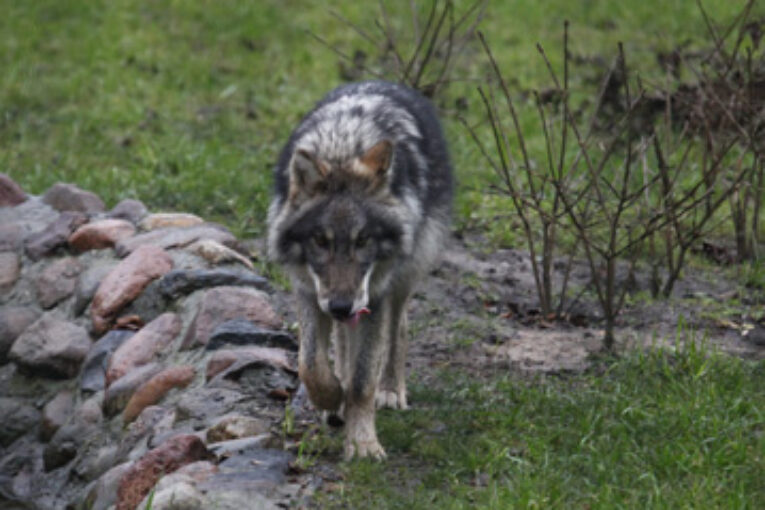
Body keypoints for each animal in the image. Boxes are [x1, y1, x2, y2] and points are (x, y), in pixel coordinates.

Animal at [266, 79, 450, 458]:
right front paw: (332, 398)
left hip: (403, 276)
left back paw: (391, 390)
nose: (340, 305)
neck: (342, 146)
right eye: (320, 241)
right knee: (341, 343)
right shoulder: (308, 290)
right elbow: (310, 364)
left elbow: (364, 380)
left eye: (363, 240)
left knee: (398, 328)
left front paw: (363, 442)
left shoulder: (373, 297)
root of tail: (384, 82)